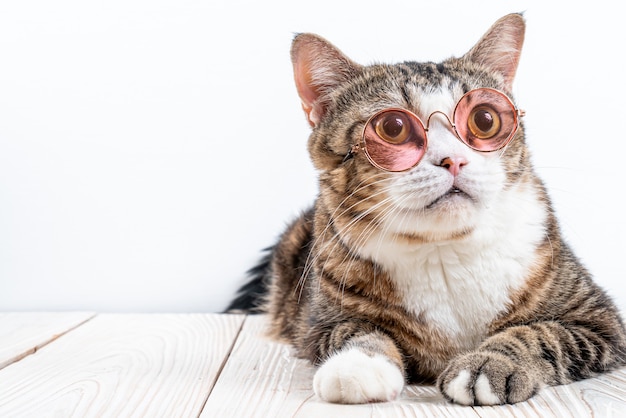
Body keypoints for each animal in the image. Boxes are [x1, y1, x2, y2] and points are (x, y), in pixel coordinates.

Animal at [228, 13, 624, 404]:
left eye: (485, 119)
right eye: (393, 127)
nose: (453, 160)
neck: (443, 248)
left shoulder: (600, 320)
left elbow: (540, 334)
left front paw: (489, 362)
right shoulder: (317, 322)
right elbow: (352, 330)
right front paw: (358, 364)